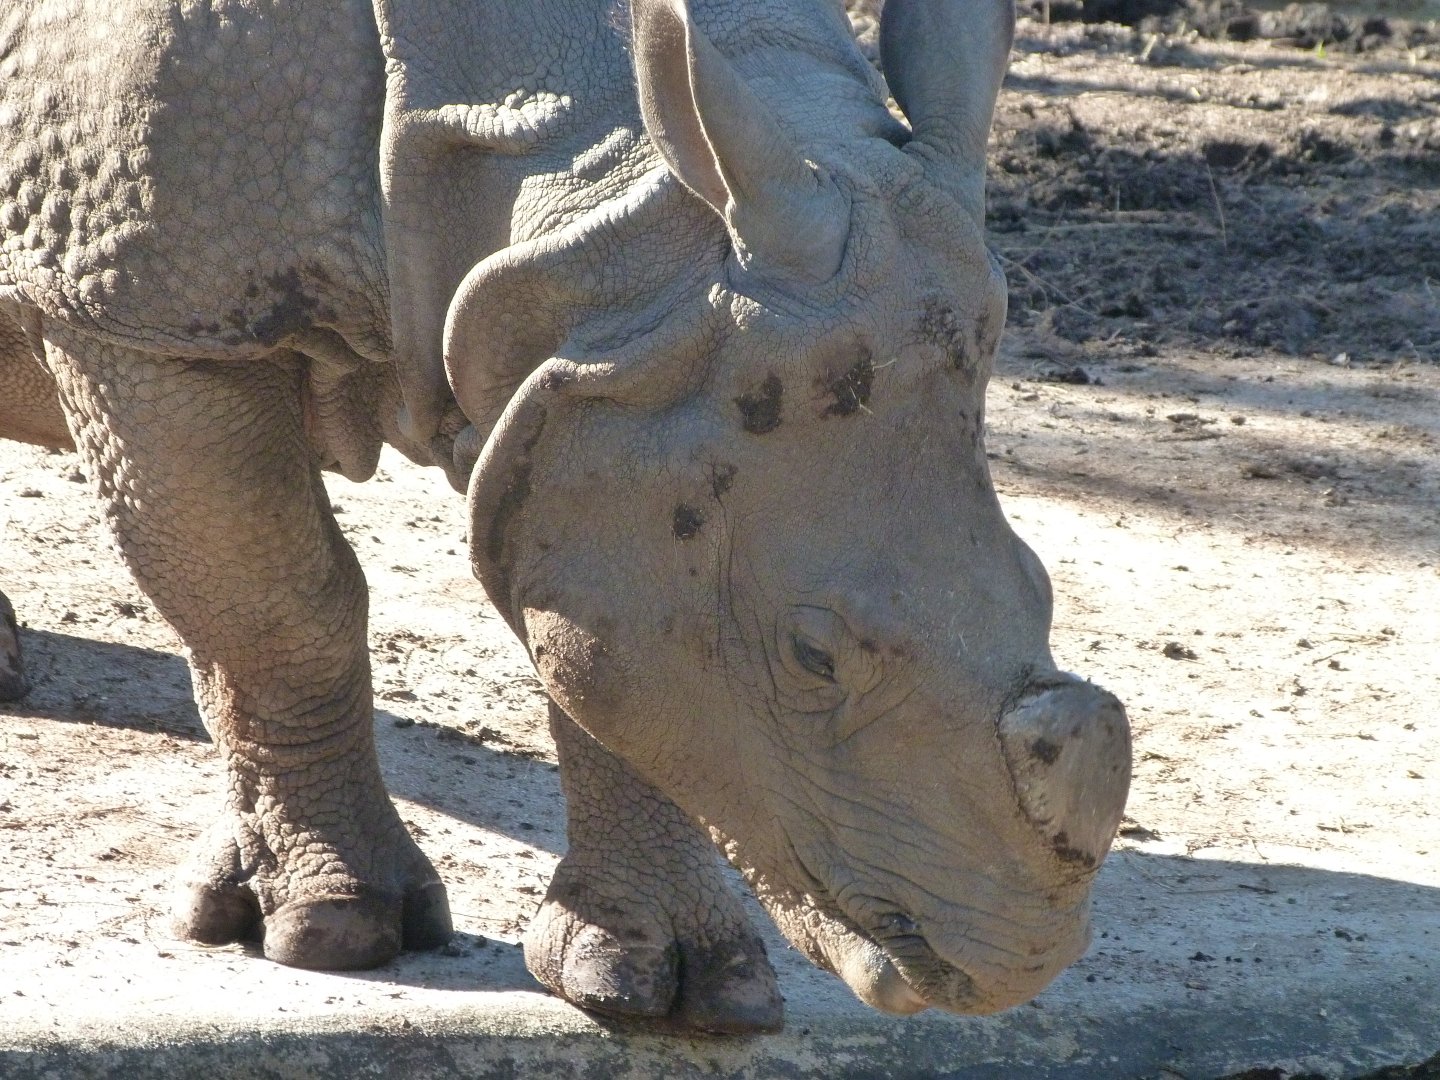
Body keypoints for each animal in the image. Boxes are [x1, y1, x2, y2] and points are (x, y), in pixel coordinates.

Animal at [0, 0, 1130, 1031]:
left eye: (1044, 588)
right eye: (815, 658)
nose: (1015, 966)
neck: (592, 204)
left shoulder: (604, 371)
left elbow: (620, 654)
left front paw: (683, 986)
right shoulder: (140, 307)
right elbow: (280, 608)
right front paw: (335, 933)